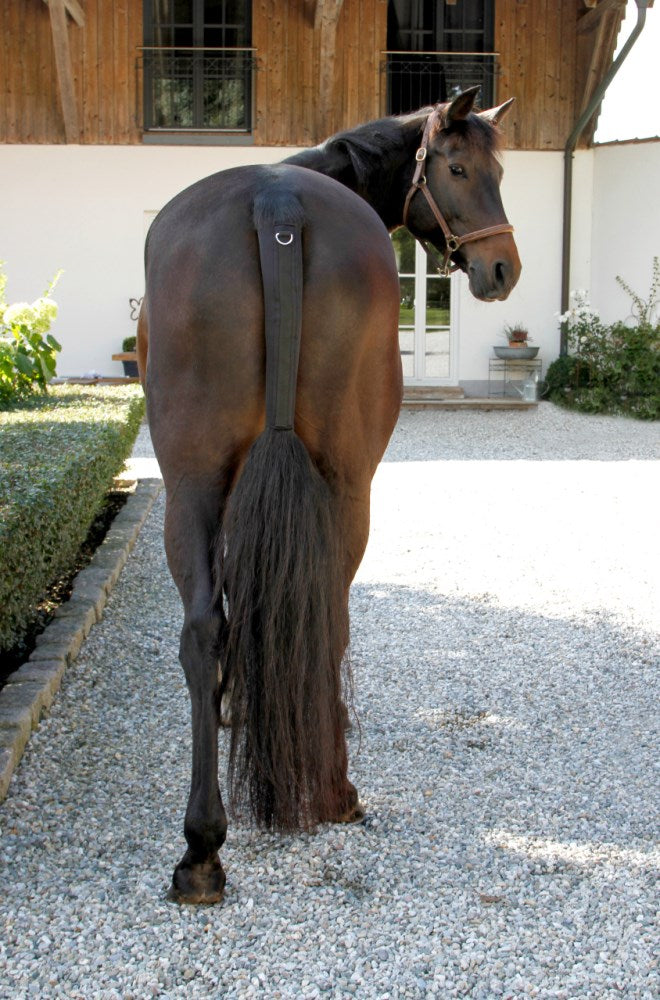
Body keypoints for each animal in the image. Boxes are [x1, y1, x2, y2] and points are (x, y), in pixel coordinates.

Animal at [137, 86, 521, 904]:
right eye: (460, 168)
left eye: (501, 170)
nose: (502, 267)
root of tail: (276, 203)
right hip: (317, 483)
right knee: (283, 622)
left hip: (207, 482)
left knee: (235, 625)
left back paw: (220, 840)